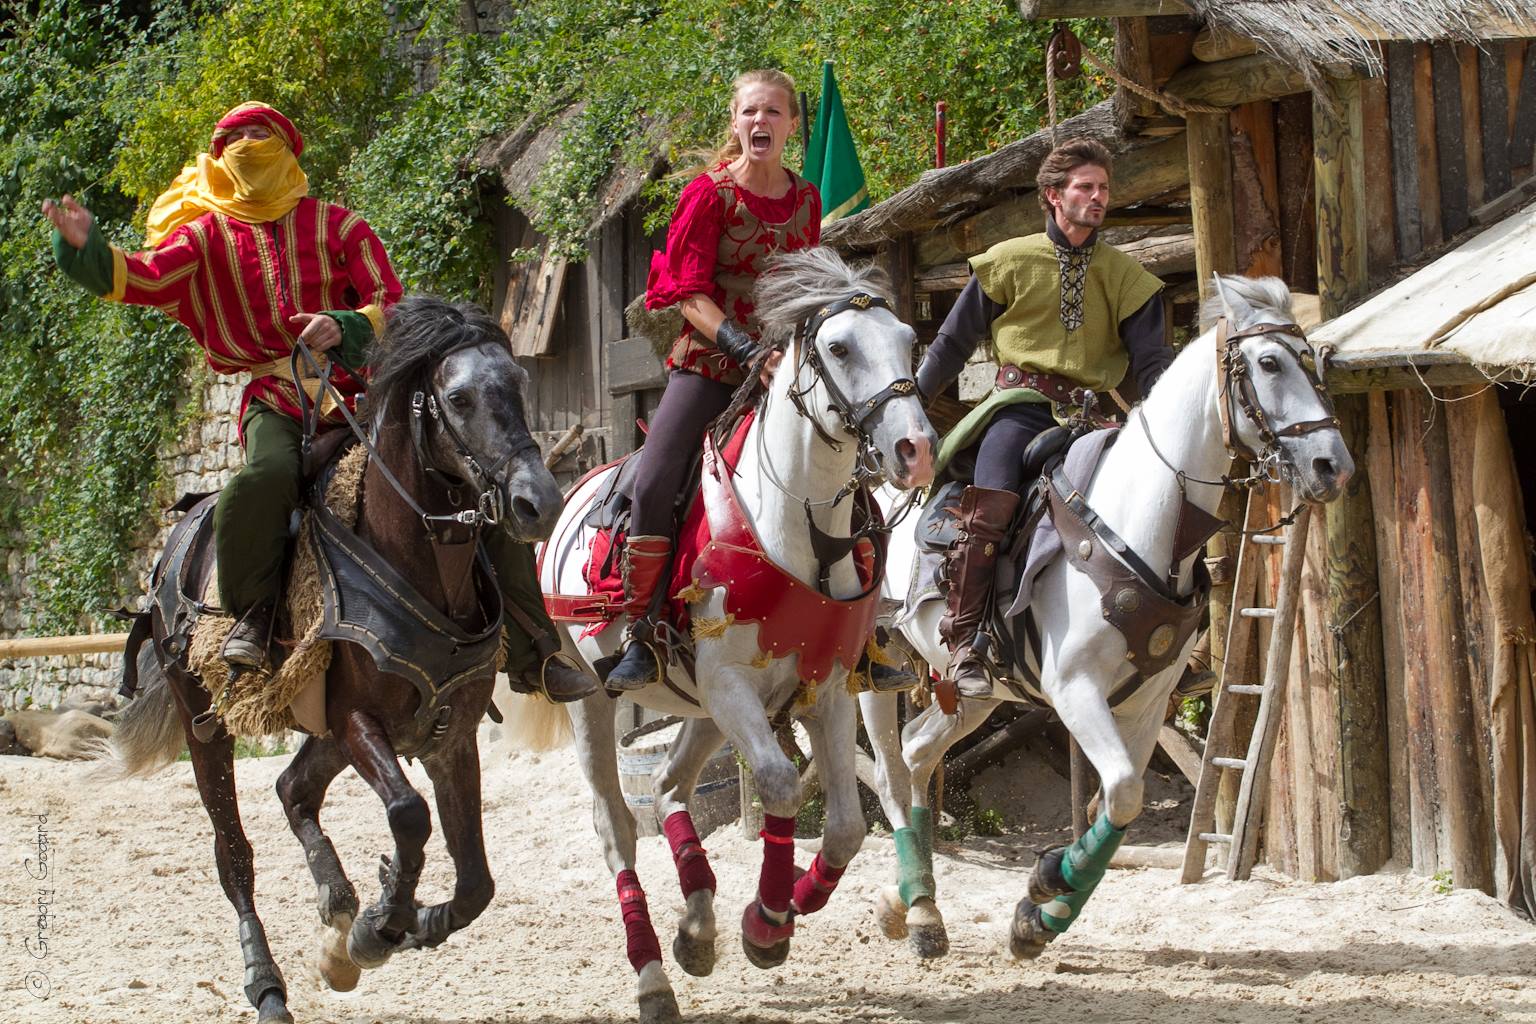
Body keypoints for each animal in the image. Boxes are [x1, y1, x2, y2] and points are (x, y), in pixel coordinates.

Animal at [522, 248, 933, 1024]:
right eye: (840, 348)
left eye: (910, 342)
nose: (914, 449)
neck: (797, 530)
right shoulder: (731, 683)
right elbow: (778, 783)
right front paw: (768, 922)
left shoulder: (826, 687)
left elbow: (845, 827)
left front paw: (775, 914)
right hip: (595, 700)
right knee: (617, 825)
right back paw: (654, 976)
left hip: (703, 710)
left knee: (671, 788)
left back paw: (698, 926)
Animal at [866, 274, 1357, 964]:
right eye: (1268, 363)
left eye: (1310, 359)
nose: (1331, 466)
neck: (1135, 520)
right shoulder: (1075, 690)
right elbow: (1123, 788)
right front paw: (1048, 894)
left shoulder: (1148, 703)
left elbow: (1118, 803)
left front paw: (1041, 910)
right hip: (874, 673)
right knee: (890, 770)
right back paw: (915, 908)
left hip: (979, 695)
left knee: (915, 756)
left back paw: (914, 905)